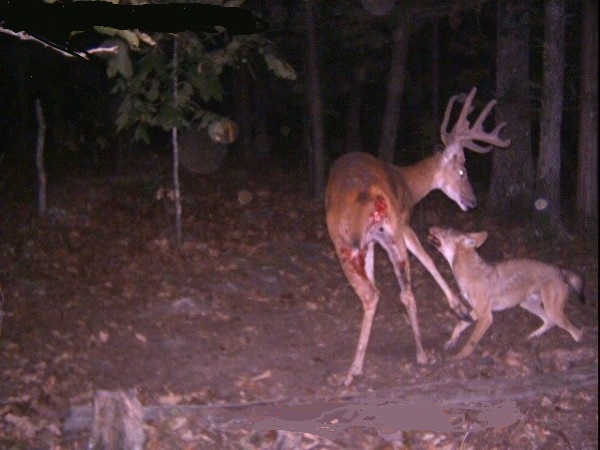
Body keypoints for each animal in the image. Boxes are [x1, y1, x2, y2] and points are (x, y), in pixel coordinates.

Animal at [326, 86, 508, 384]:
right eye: (462, 170)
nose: (472, 201)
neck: (409, 184)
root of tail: (369, 195)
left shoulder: (374, 241)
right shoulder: (405, 221)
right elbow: (429, 258)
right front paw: (459, 308)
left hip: (351, 241)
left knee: (375, 292)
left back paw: (357, 368)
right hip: (387, 233)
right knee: (400, 292)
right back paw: (418, 355)